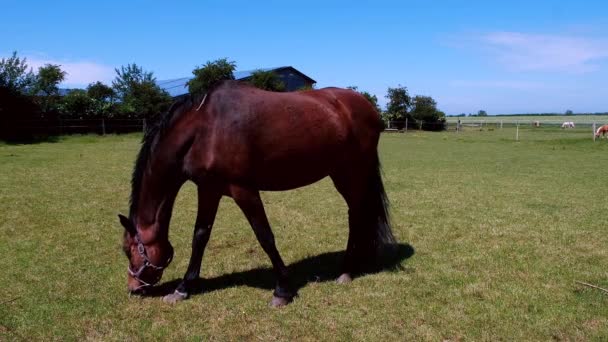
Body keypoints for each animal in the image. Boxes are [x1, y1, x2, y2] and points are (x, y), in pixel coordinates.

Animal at [119, 81, 396, 308]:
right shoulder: (208, 189)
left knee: (356, 214)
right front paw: (183, 288)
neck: (205, 128)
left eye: (128, 250)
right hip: (342, 173)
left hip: (352, 173)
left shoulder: (244, 190)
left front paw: (283, 290)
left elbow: (265, 236)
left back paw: (346, 270)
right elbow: (200, 236)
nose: (133, 289)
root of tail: (366, 106)